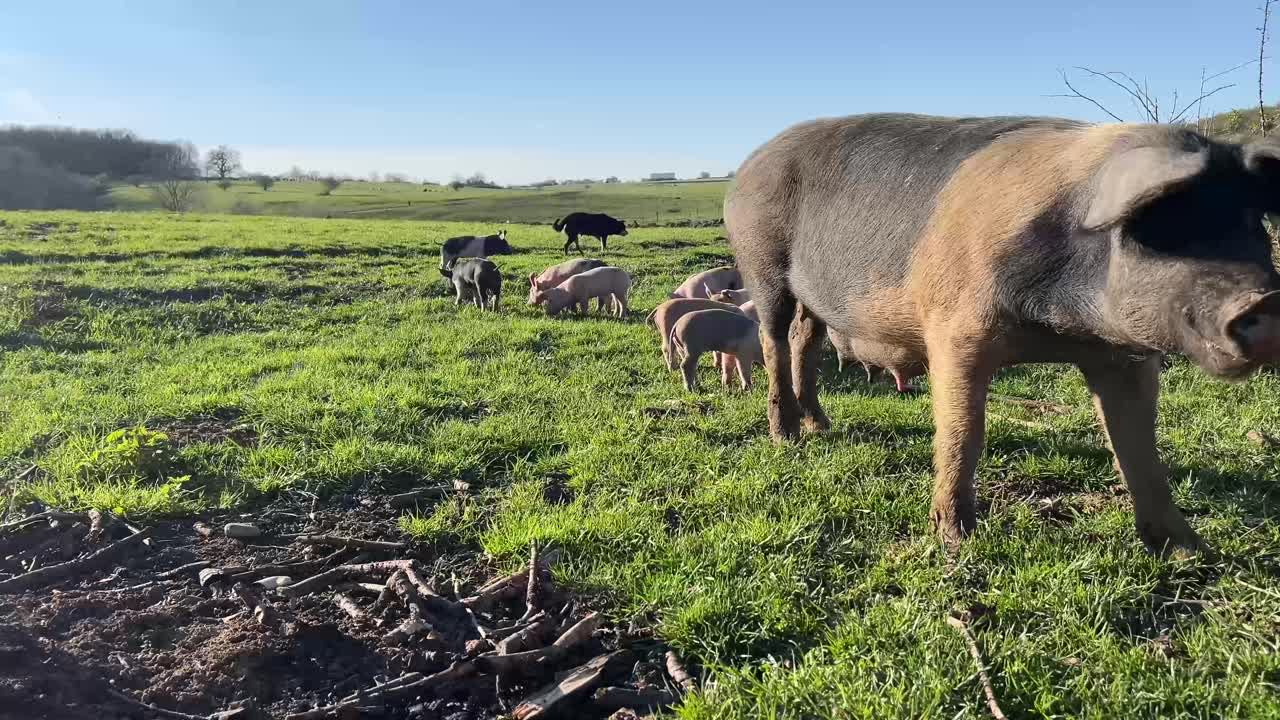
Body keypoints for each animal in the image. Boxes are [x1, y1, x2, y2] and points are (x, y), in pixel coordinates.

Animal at [726, 113, 1280, 553]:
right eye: (1159, 226)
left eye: (1252, 224)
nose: (1265, 300)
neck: (1060, 325)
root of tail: (747, 166)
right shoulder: (954, 329)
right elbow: (963, 432)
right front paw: (956, 538)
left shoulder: (1124, 356)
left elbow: (1141, 448)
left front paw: (1189, 551)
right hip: (762, 262)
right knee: (774, 342)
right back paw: (786, 437)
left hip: (815, 298)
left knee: (805, 339)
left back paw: (821, 426)